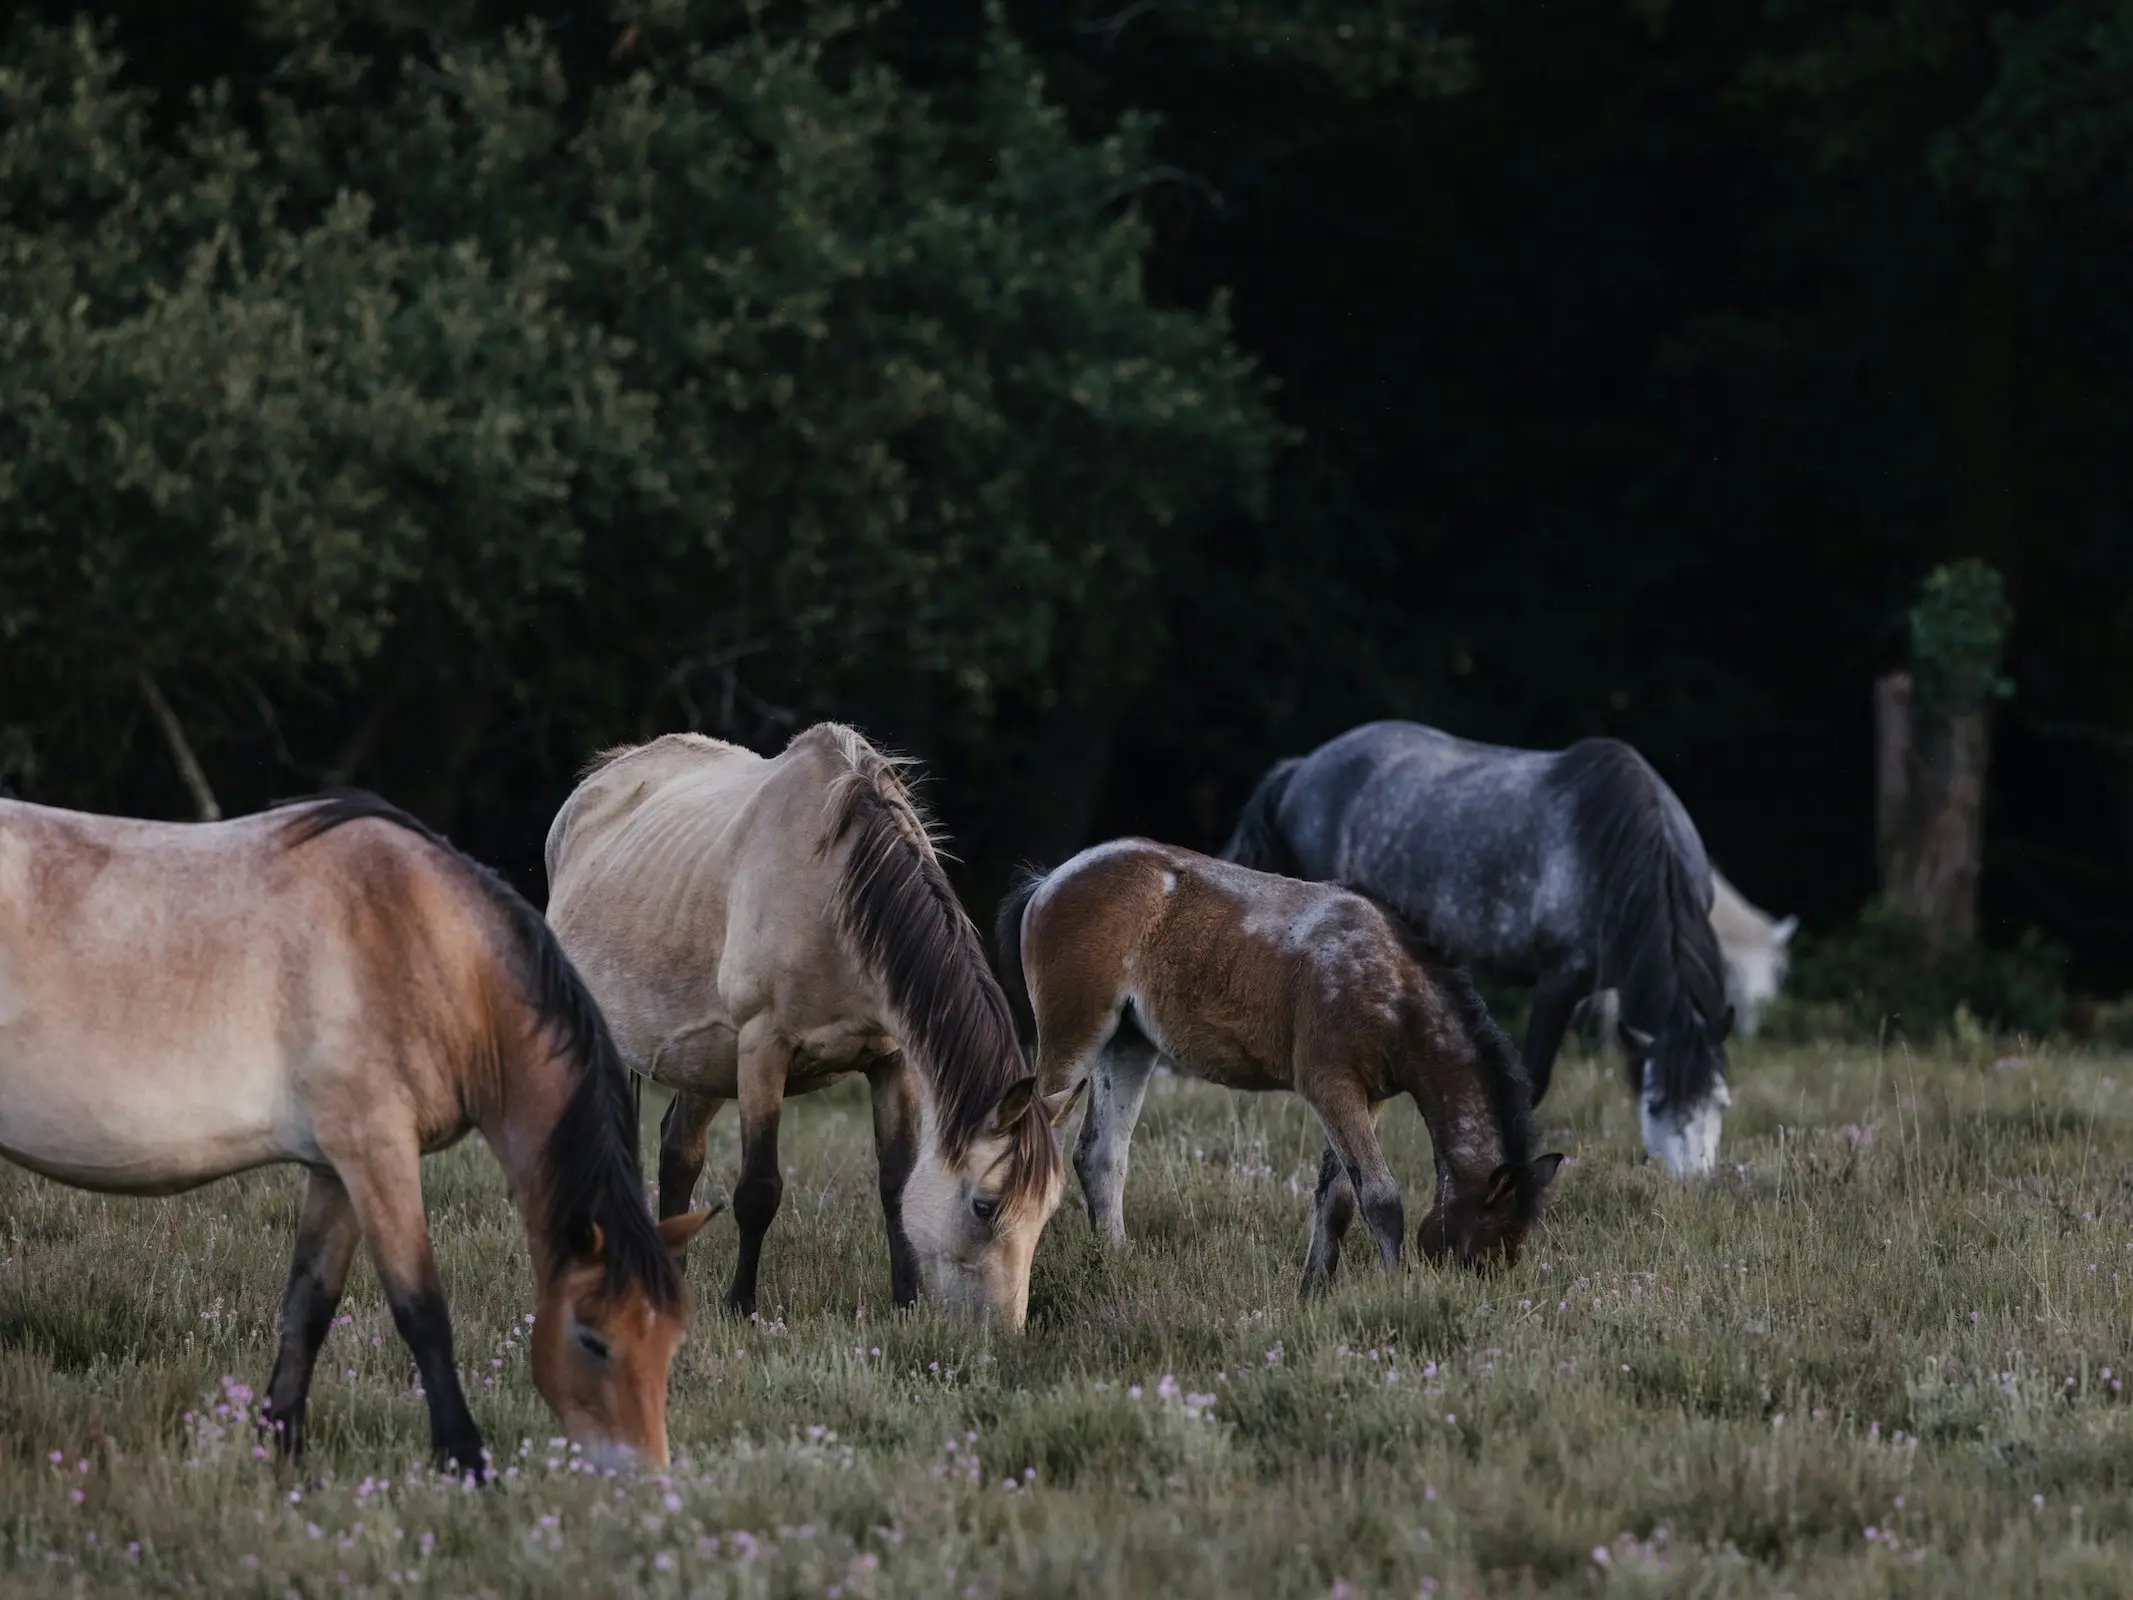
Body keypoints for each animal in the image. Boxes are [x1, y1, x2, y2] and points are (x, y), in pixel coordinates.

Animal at [0, 789, 720, 1476]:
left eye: (670, 1341)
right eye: (593, 1339)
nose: (645, 1481)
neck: (429, 944)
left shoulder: (335, 1170)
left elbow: (307, 1309)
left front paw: (283, 1459)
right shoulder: (377, 1152)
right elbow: (422, 1312)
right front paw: (468, 1465)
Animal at [541, 725, 1075, 1331]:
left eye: (1048, 1210)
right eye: (985, 1207)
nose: (1002, 1333)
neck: (835, 896)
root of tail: (591, 788)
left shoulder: (890, 1060)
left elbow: (895, 1183)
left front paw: (906, 1301)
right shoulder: (762, 1050)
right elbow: (759, 1190)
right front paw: (741, 1306)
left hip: (703, 1060)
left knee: (679, 1154)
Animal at [989, 844, 1561, 1297]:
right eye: (1485, 1247)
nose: (1472, 1293)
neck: (1393, 990)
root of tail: (1051, 881)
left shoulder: (1366, 1097)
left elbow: (1337, 1199)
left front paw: (1313, 1291)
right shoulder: (1332, 1088)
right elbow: (1380, 1199)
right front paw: (1391, 1289)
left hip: (1128, 1046)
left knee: (1101, 1156)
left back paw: (1115, 1264)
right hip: (1075, 1040)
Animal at [1228, 725, 1740, 1177]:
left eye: (1721, 1102)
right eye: (1656, 1103)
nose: (1691, 1181)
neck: (1608, 848)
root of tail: (1302, 768)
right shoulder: (1559, 982)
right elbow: (1532, 1083)